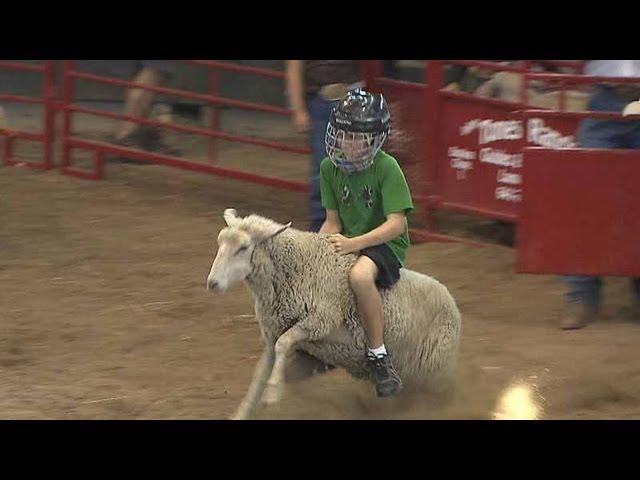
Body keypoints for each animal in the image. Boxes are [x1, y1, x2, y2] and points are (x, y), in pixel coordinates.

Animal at [208, 208, 462, 418]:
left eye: (243, 247)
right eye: (220, 242)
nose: (212, 283)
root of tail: (451, 301)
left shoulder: (320, 320)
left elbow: (284, 343)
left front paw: (273, 394)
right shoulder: (273, 333)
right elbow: (259, 376)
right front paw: (246, 409)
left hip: (433, 369)